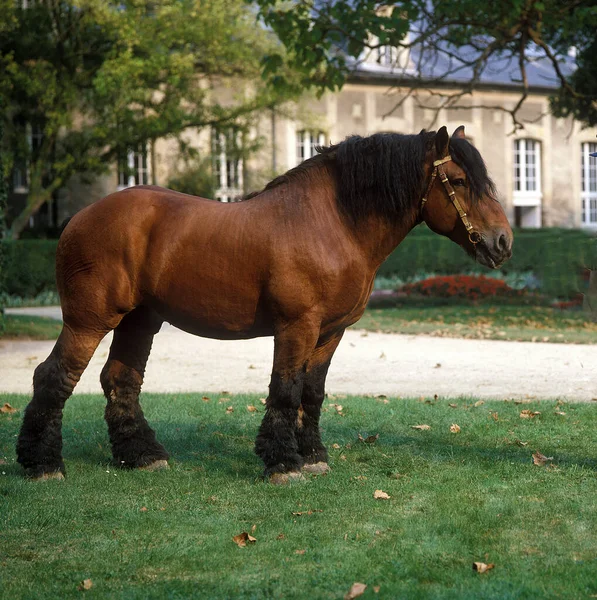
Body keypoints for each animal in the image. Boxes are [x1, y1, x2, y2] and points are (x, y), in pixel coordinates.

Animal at [17, 125, 512, 482]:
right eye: (460, 180)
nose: (503, 241)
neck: (334, 223)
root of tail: (79, 218)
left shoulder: (331, 332)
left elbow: (312, 393)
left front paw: (313, 456)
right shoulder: (297, 326)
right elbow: (286, 389)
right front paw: (284, 464)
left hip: (140, 321)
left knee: (120, 380)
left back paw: (142, 456)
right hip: (89, 320)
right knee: (53, 378)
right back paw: (43, 465)